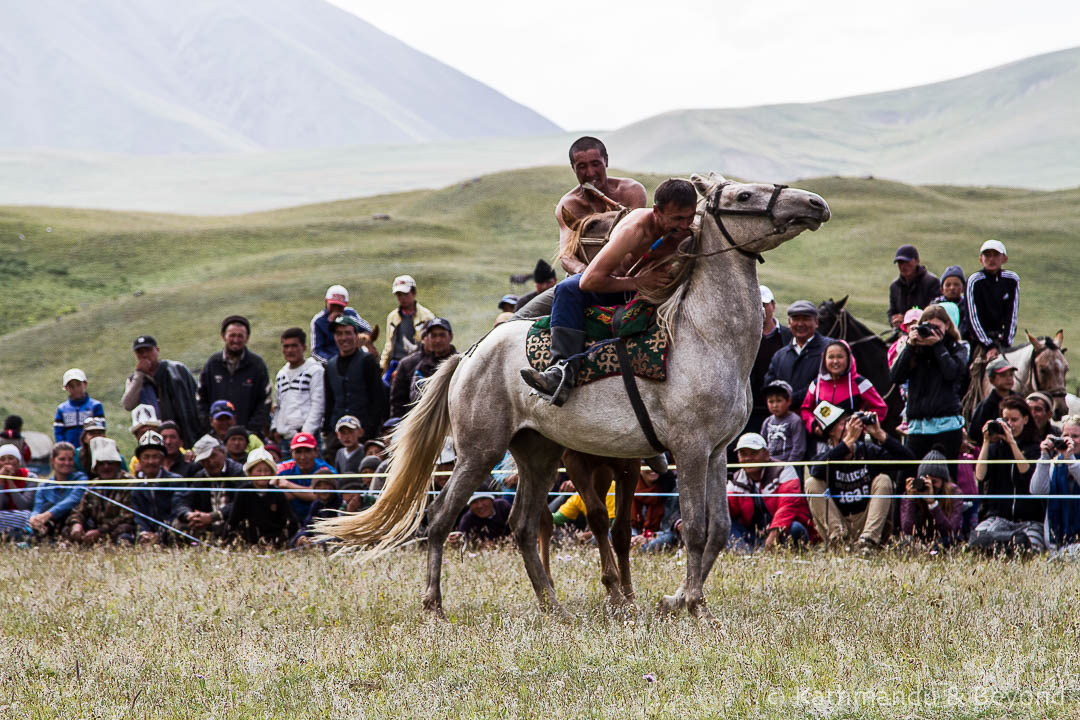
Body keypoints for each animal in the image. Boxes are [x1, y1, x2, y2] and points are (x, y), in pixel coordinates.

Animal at [315, 174, 829, 621]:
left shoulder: (718, 449)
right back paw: (434, 606)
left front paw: (687, 600)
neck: (702, 337)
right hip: (480, 450)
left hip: (538, 454)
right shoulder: (689, 448)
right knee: (440, 518)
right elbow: (698, 529)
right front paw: (681, 601)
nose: (816, 204)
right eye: (743, 196)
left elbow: (719, 530)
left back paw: (552, 605)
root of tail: (470, 354)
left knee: (522, 525)